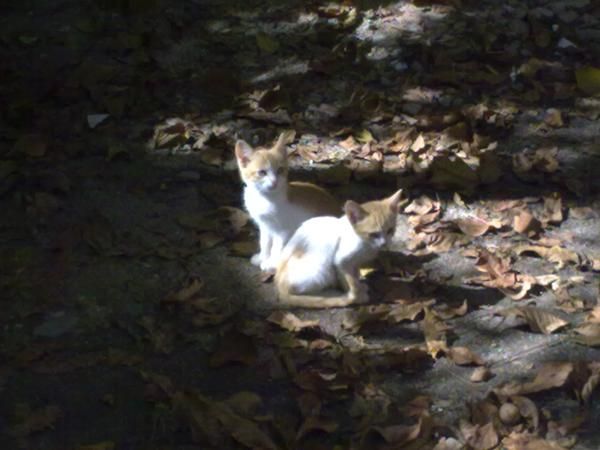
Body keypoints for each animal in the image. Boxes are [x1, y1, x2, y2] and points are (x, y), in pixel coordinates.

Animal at [234, 130, 340, 270]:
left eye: (280, 170)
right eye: (262, 173)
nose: (274, 182)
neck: (265, 198)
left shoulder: (283, 230)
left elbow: (276, 247)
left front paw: (271, 263)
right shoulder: (265, 225)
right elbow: (265, 242)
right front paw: (262, 257)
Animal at [276, 188, 404, 308]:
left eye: (390, 230)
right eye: (373, 234)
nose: (384, 243)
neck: (365, 244)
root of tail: (279, 285)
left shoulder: (354, 262)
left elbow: (354, 274)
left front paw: (358, 286)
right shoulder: (340, 260)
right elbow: (349, 280)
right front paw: (355, 294)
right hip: (321, 270)